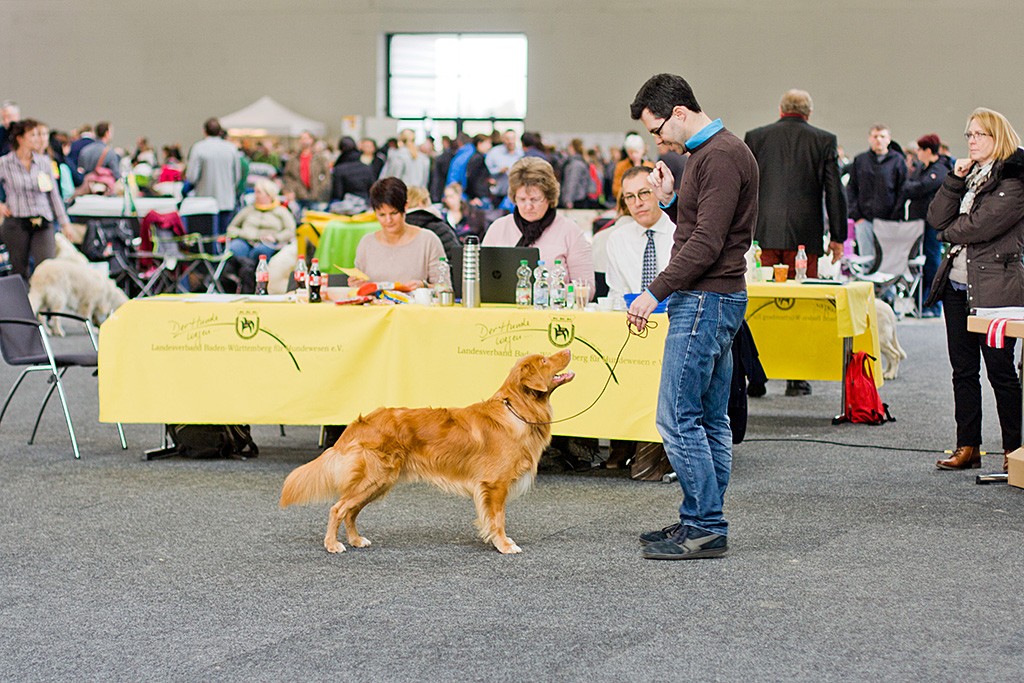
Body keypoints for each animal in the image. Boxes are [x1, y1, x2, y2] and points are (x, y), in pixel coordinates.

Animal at [278, 350, 577, 552]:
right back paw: (332, 544)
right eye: (545, 361)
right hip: (373, 478)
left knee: (350, 511)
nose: (568, 350)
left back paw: (355, 540)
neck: (516, 411)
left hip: (379, 482)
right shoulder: (494, 484)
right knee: (337, 508)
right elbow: (498, 519)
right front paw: (503, 544)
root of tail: (359, 422)